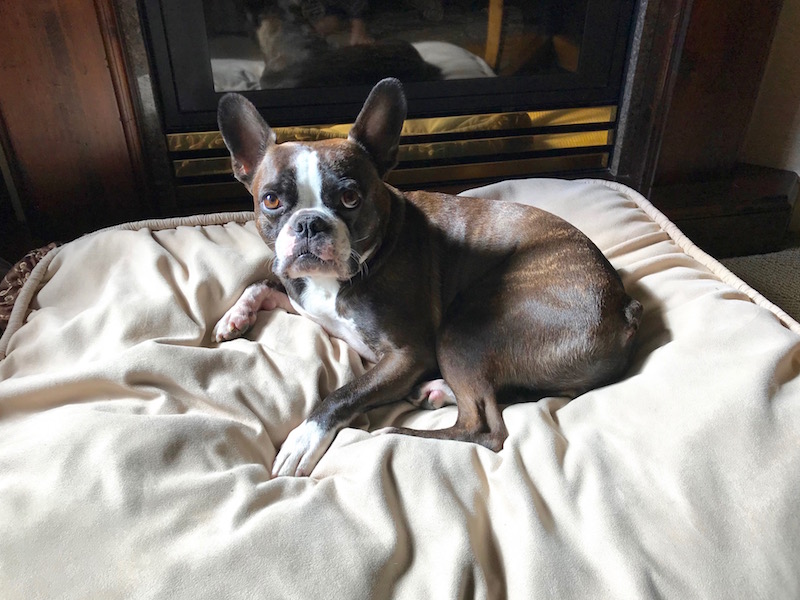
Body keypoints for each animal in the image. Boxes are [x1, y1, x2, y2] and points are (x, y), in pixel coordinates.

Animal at [212, 76, 644, 478]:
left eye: (350, 198)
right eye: (271, 201)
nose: (309, 223)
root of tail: (623, 307)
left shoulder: (407, 355)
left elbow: (344, 393)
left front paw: (304, 437)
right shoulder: (301, 295)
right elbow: (261, 283)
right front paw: (235, 316)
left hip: (461, 331)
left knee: (483, 426)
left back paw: (395, 432)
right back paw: (437, 391)